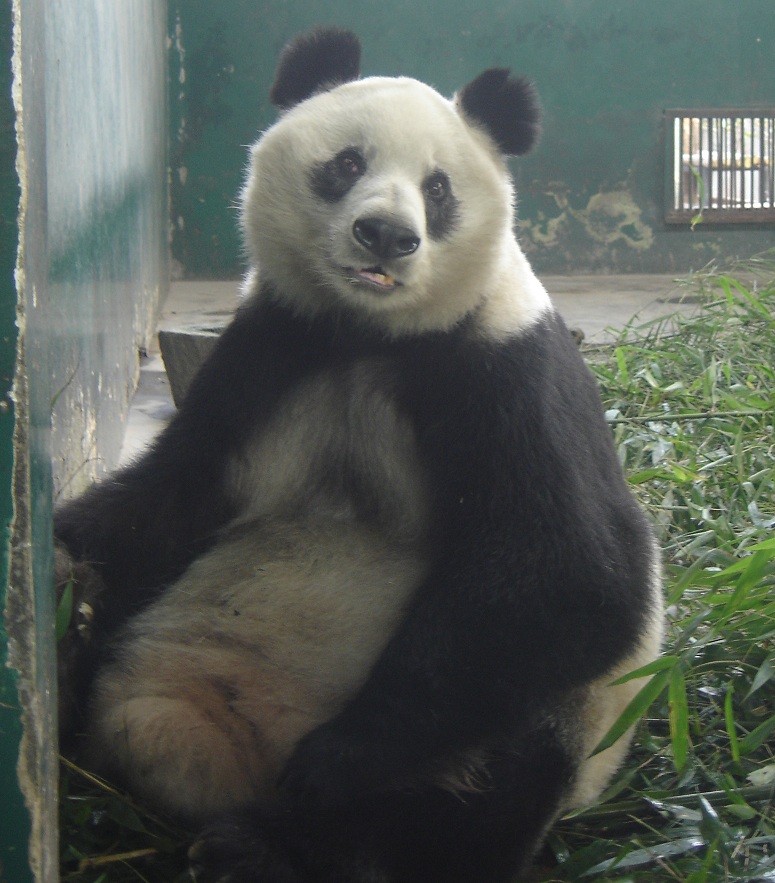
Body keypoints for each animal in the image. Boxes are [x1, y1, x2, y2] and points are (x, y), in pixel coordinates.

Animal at [55, 26, 663, 883]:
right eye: (347, 163)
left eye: (437, 188)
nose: (386, 236)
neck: (369, 333)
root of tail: (242, 761)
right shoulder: (269, 348)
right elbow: (166, 497)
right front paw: (68, 552)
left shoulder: (505, 371)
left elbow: (574, 572)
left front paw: (332, 760)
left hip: (558, 715)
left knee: (487, 784)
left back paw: (272, 844)